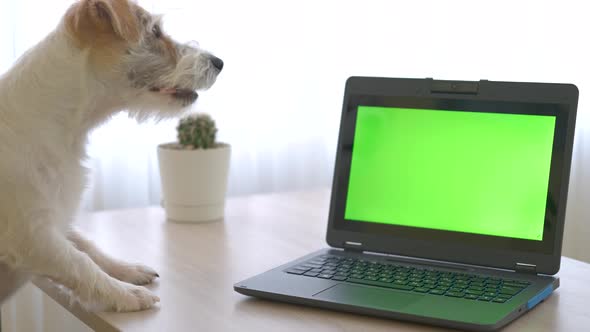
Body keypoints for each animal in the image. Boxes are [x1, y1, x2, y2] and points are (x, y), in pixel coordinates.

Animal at [0, 0, 224, 312]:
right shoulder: (31, 234)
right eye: (155, 31)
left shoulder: (55, 218)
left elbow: (87, 246)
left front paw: (127, 271)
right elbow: (79, 262)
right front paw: (125, 294)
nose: (219, 62)